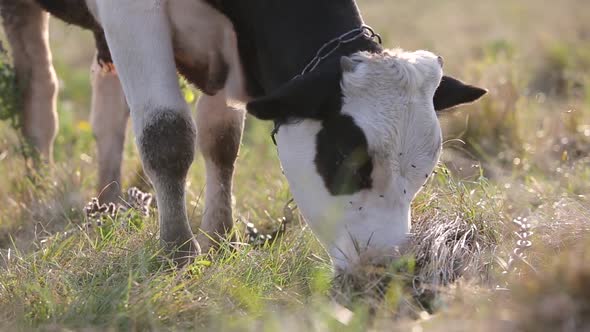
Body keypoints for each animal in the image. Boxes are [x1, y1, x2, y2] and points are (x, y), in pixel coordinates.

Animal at [5, 0, 490, 270]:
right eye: (344, 162)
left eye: (423, 175)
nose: (382, 268)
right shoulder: (131, 12)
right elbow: (167, 133)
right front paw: (178, 254)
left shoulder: (231, 45)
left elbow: (221, 139)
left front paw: (221, 240)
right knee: (37, 87)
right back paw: (40, 190)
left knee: (105, 99)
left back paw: (107, 203)